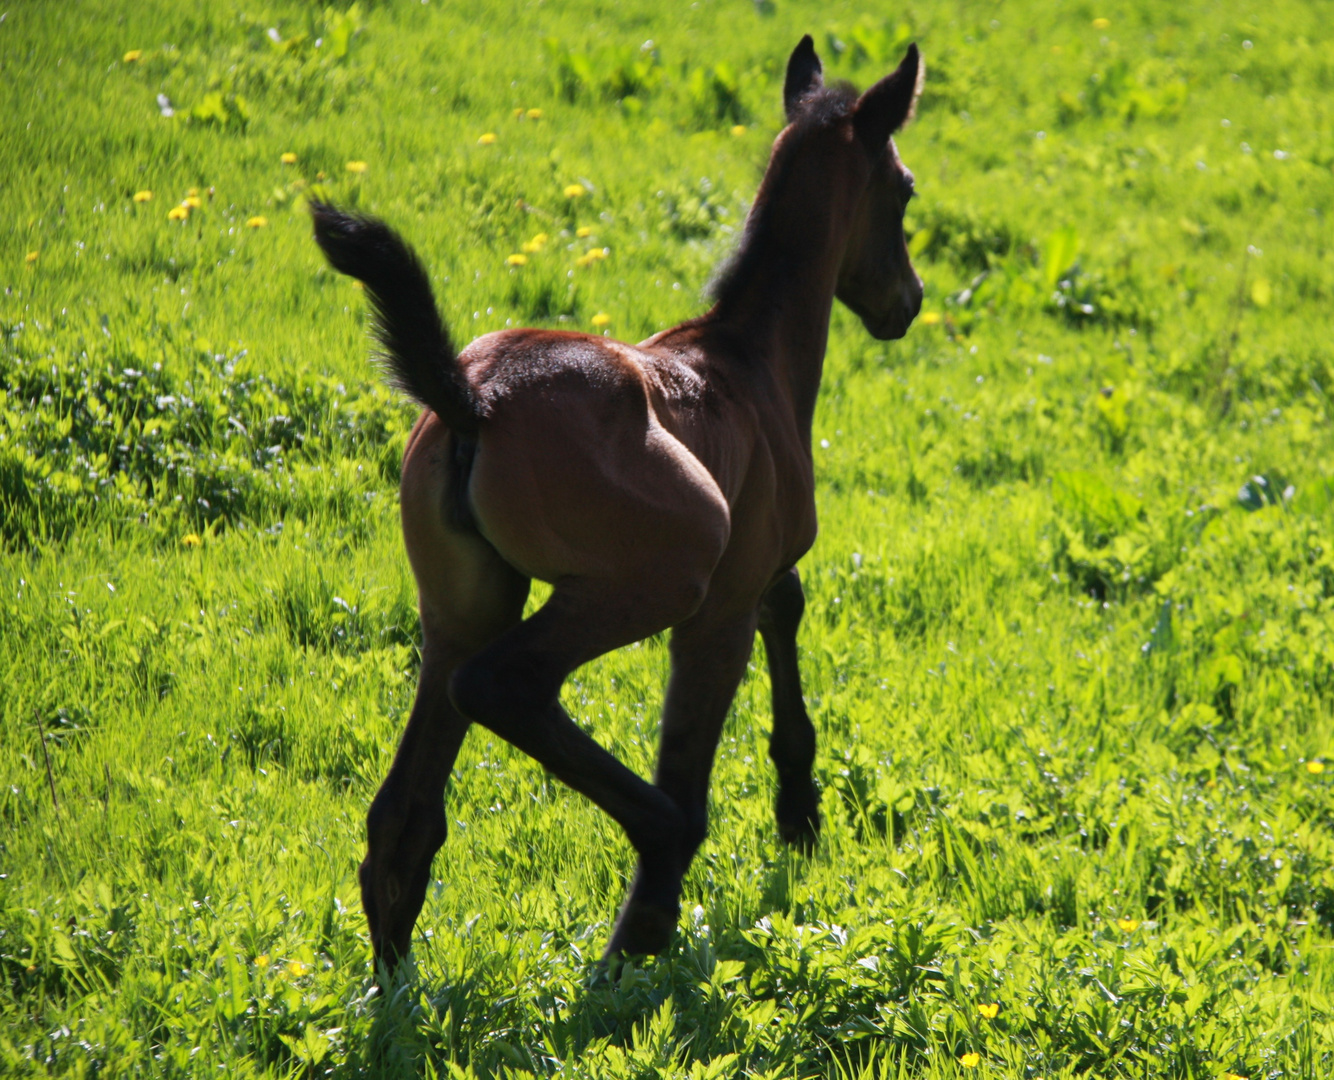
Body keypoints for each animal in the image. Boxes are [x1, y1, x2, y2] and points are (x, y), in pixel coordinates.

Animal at [308, 33, 923, 965]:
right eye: (904, 189)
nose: (908, 303)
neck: (750, 357)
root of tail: (471, 397)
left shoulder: (758, 563)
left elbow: (788, 603)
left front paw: (799, 808)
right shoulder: (719, 607)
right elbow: (698, 748)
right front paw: (657, 920)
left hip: (463, 604)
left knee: (402, 816)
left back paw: (396, 982)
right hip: (656, 577)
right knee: (506, 689)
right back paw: (655, 866)